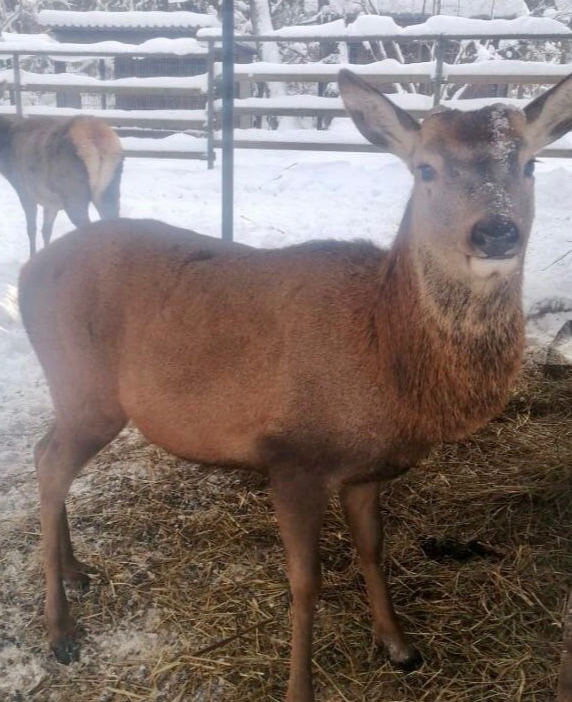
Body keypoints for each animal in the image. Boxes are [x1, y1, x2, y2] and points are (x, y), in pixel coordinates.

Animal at [0, 82, 123, 258]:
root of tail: (97, 141)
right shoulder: (49, 200)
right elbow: (46, 230)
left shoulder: (24, 189)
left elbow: (31, 228)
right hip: (111, 188)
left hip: (74, 192)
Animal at [16, 67, 572, 702]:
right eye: (425, 169)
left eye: (529, 163)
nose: (496, 231)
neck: (382, 353)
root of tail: (26, 275)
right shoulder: (292, 458)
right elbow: (306, 583)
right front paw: (300, 687)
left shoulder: (364, 472)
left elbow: (374, 549)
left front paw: (399, 645)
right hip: (86, 389)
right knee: (50, 464)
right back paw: (60, 629)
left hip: (76, 394)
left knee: (45, 456)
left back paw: (76, 571)